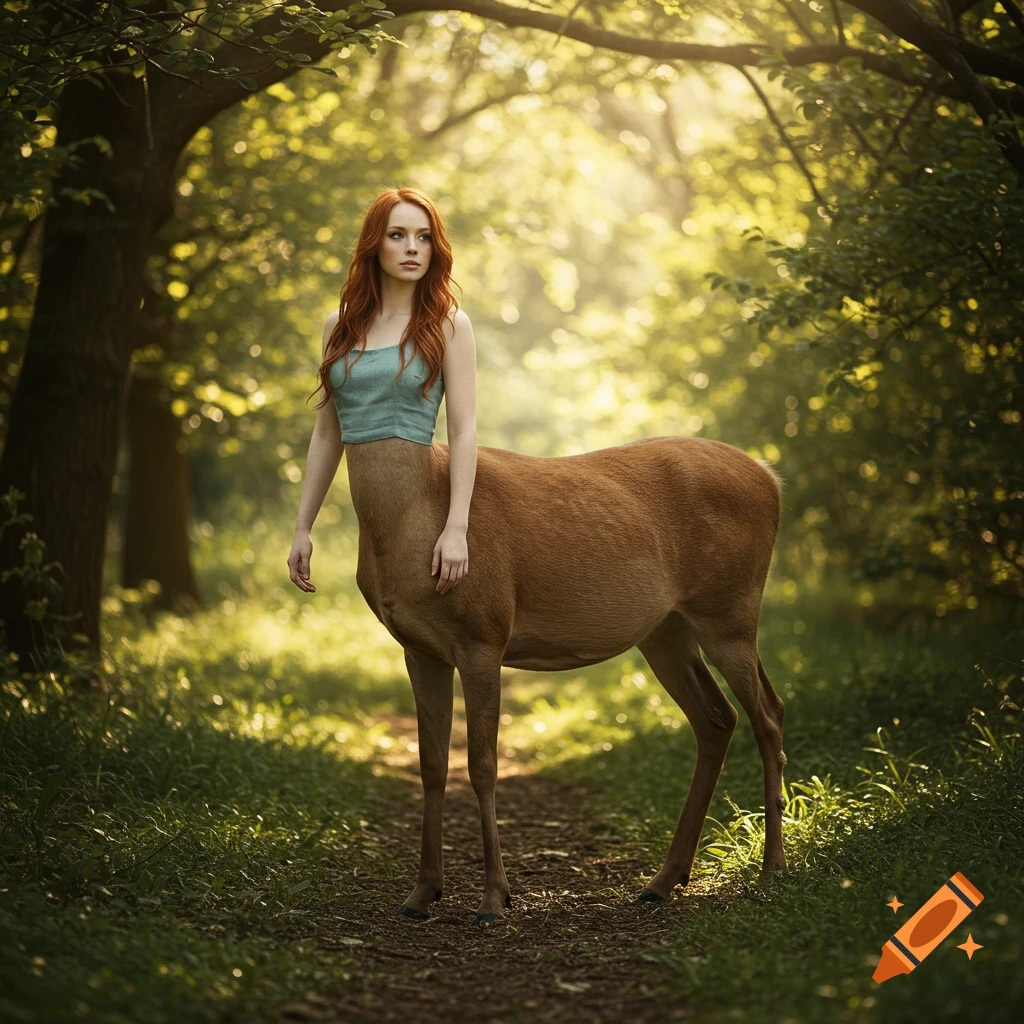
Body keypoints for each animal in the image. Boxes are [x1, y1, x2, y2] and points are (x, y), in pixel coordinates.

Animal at [336, 432, 787, 926]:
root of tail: (771, 477)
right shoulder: (419, 651)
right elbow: (432, 764)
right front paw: (421, 893)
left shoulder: (484, 636)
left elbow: (482, 765)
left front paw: (494, 900)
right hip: (666, 629)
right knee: (719, 716)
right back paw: (663, 881)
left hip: (730, 609)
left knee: (768, 714)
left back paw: (772, 869)